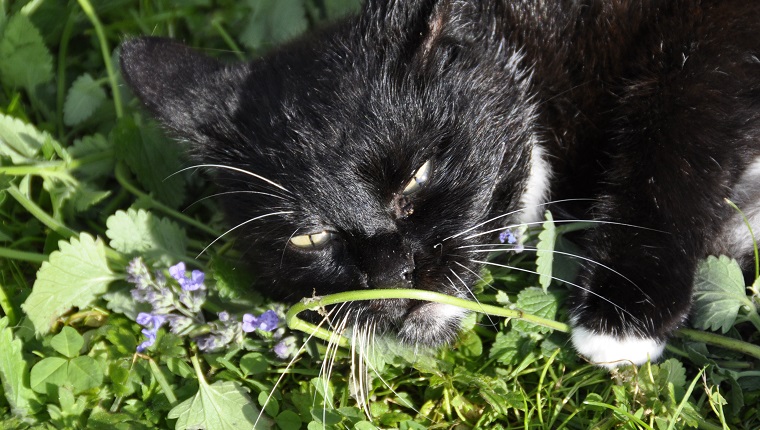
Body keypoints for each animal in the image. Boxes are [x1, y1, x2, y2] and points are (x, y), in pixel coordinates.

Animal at [120, 0, 760, 370]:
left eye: (417, 175)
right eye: (307, 239)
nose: (393, 272)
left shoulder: (710, 30)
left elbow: (677, 115)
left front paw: (623, 313)